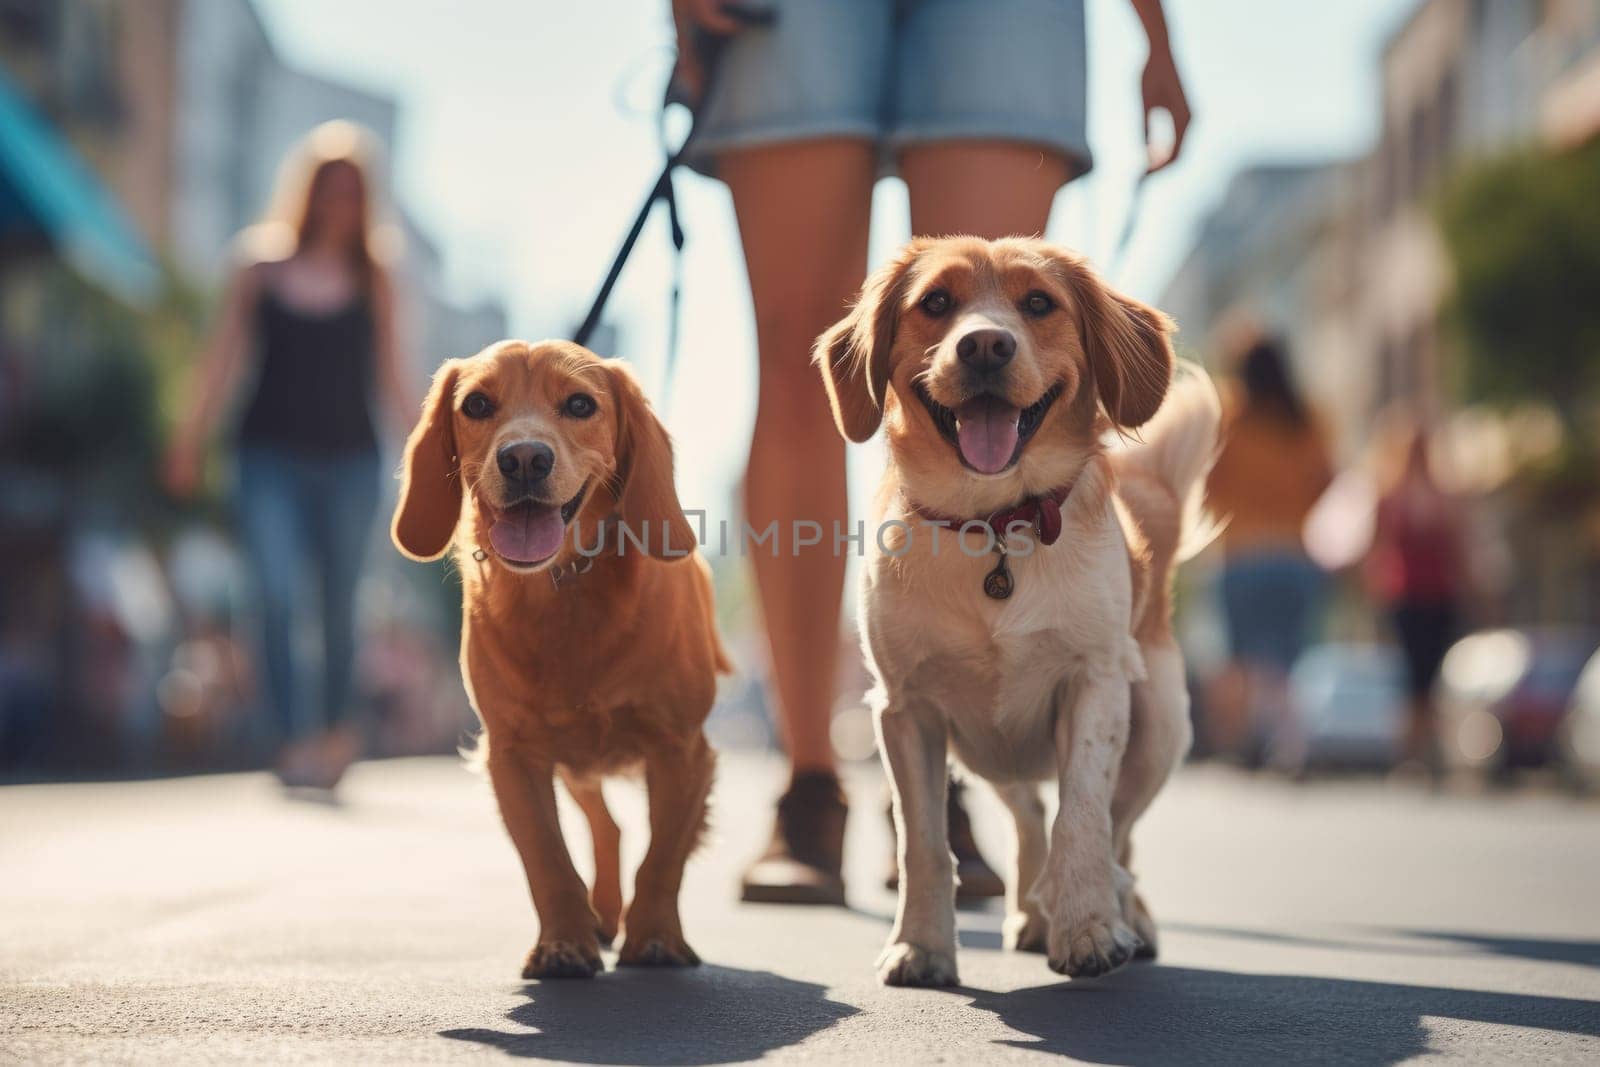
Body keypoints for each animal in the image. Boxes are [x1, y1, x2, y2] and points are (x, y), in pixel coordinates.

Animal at [393, 340, 726, 979]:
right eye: (477, 404)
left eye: (579, 404)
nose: (524, 458)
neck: (566, 592)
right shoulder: (512, 756)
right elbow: (547, 858)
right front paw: (564, 942)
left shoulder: (682, 749)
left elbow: (663, 855)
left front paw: (655, 936)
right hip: (575, 768)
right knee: (609, 829)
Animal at [819, 238, 1216, 991]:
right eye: (936, 302)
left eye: (1038, 303)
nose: (983, 345)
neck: (995, 525)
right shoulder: (904, 708)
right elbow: (924, 841)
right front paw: (921, 946)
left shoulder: (1096, 685)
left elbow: (1083, 819)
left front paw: (1090, 929)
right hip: (984, 749)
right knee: (1029, 812)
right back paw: (1034, 913)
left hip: (1159, 723)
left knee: (1118, 836)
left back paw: (1125, 916)